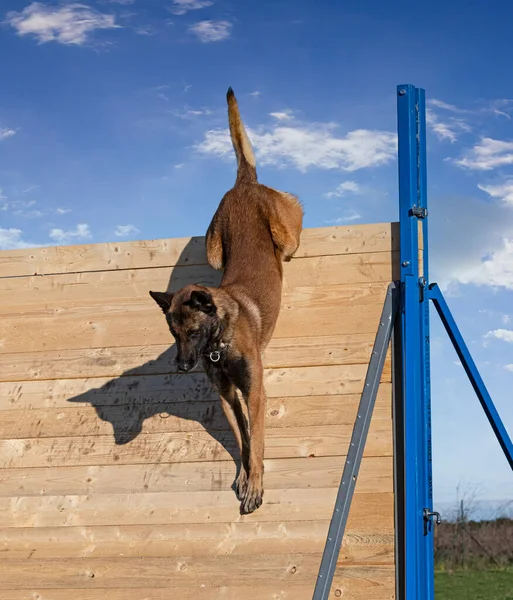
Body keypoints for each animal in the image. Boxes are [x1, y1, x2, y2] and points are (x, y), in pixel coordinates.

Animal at [148, 86, 302, 512]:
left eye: (193, 331)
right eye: (173, 333)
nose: (183, 365)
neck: (219, 343)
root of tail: (243, 183)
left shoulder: (255, 392)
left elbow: (258, 442)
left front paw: (255, 484)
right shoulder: (228, 397)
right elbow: (243, 440)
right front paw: (245, 477)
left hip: (286, 233)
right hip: (215, 248)